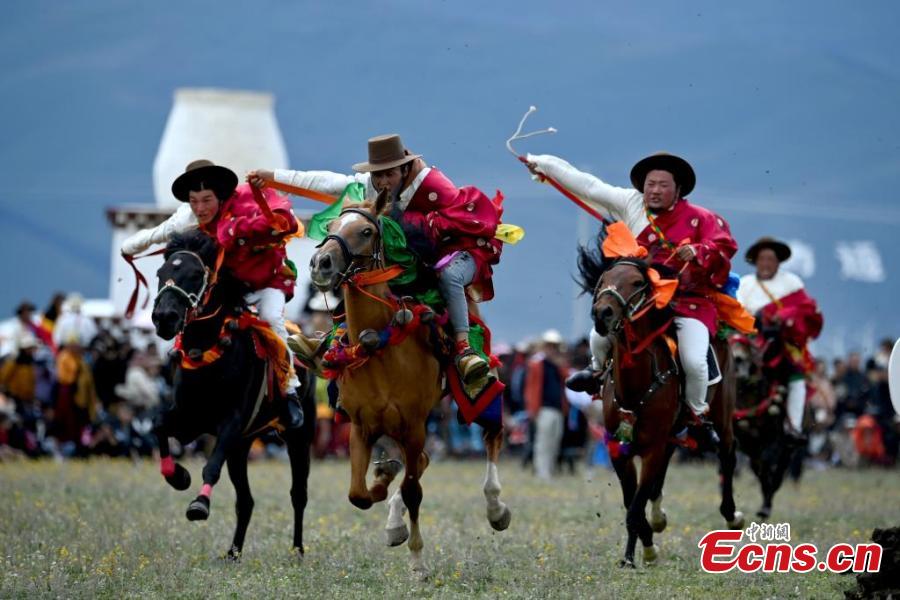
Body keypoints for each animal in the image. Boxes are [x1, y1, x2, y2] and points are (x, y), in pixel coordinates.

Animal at [149, 230, 314, 556]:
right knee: (246, 501)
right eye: (161, 273)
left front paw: (199, 504)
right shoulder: (189, 420)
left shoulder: (231, 422)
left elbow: (211, 467)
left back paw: (297, 550)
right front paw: (178, 476)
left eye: (195, 274)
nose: (164, 317)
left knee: (298, 494)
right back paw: (233, 553)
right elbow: (159, 425)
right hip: (242, 446)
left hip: (298, 437)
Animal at [584, 248, 744, 568]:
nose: (602, 313)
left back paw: (732, 516)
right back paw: (658, 517)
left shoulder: (651, 449)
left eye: (636, 283)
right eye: (604, 279)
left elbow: (635, 506)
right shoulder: (619, 449)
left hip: (721, 415)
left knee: (727, 455)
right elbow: (631, 502)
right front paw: (640, 549)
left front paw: (638, 554)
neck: (636, 386)